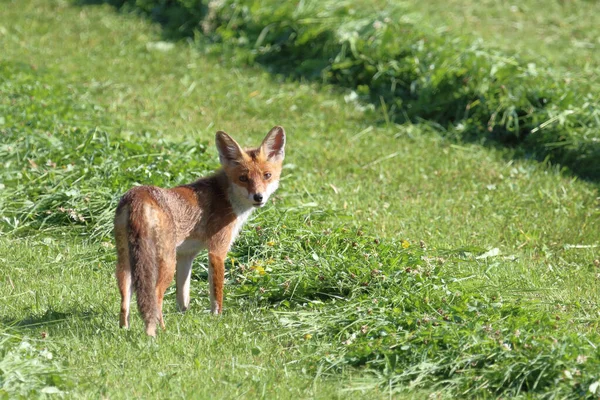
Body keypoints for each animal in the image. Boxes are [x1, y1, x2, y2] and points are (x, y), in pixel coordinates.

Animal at [115, 126, 288, 334]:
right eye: (243, 178)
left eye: (267, 175)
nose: (258, 197)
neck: (226, 196)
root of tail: (138, 195)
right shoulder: (217, 251)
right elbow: (217, 295)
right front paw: (217, 319)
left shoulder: (186, 255)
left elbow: (183, 297)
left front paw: (183, 316)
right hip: (165, 262)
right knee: (155, 297)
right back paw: (160, 331)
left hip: (126, 262)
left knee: (125, 300)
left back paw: (124, 330)